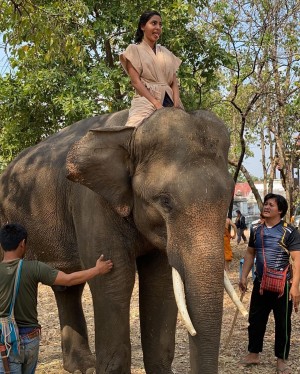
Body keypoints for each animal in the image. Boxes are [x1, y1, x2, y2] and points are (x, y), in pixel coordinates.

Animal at [0, 108, 234, 374]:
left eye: (229, 198)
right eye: (165, 201)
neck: (130, 132)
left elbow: (160, 282)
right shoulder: (92, 203)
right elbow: (115, 280)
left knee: (68, 286)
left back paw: (82, 367)